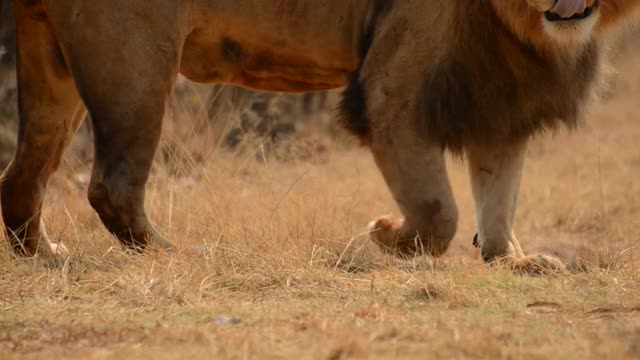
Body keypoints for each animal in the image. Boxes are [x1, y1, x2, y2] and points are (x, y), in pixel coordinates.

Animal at [1, 0, 640, 270]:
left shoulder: (497, 92)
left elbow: (498, 189)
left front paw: (513, 258)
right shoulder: (391, 85)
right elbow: (440, 211)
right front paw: (388, 235)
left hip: (53, 65)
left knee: (20, 178)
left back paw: (44, 254)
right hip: (136, 57)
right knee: (110, 185)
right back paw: (171, 253)